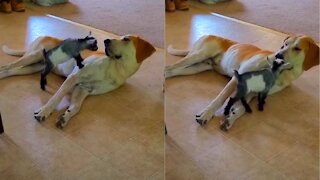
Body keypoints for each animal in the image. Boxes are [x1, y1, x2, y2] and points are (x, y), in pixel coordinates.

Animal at [0, 34, 155, 128]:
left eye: (126, 39)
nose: (105, 40)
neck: (116, 68)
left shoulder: (83, 88)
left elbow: (76, 107)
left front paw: (65, 116)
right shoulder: (74, 77)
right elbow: (55, 98)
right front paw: (44, 111)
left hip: (34, 67)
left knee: (10, 71)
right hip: (34, 56)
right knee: (6, 66)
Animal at [166, 34, 318, 130]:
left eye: (297, 48)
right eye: (284, 45)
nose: (278, 55)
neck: (281, 71)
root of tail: (209, 34)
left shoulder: (254, 92)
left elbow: (242, 108)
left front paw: (231, 119)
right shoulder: (237, 78)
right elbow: (220, 99)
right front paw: (206, 115)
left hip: (197, 67)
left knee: (172, 71)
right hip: (198, 55)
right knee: (168, 67)